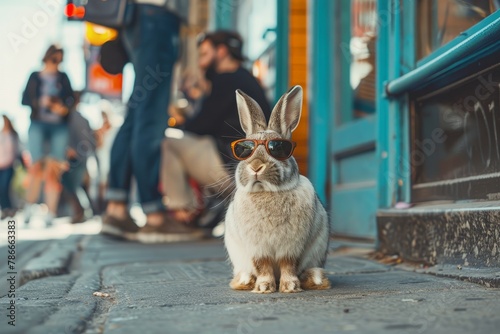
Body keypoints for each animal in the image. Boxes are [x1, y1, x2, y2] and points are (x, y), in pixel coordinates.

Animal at [225, 85, 330, 292]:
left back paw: (315, 279)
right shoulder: (258, 249)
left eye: (278, 148)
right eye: (245, 150)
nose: (256, 166)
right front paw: (264, 288)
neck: (267, 192)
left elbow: (288, 265)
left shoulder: (291, 248)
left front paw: (289, 287)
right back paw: (246, 281)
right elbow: (263, 266)